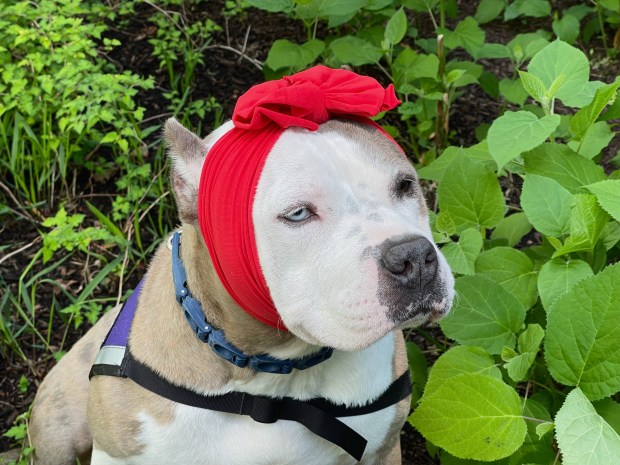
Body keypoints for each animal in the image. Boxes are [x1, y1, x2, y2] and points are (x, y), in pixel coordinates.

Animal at [27, 69, 456, 464]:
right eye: (298, 213)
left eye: (405, 185)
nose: (413, 257)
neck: (271, 375)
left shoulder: (381, 449)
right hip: (57, 429)